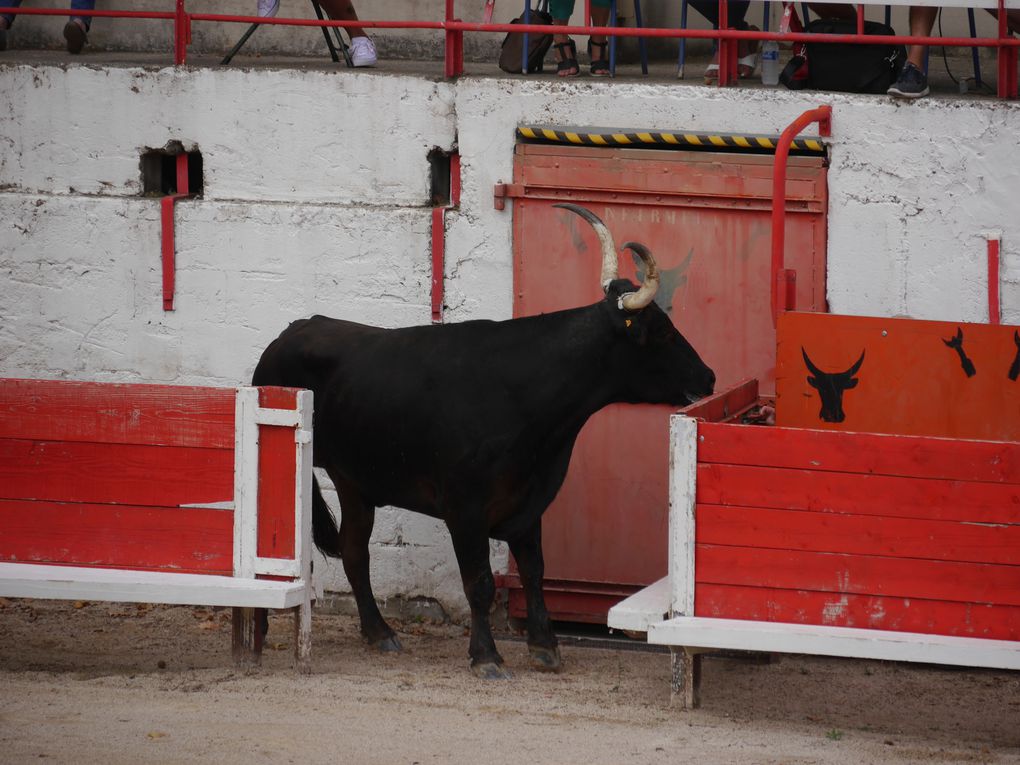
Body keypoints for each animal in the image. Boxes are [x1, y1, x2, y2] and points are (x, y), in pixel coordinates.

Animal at [252, 204, 718, 677]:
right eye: (662, 331)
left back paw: (379, 633)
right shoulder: (465, 509)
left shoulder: (528, 503)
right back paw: (265, 634)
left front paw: (545, 645)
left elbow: (533, 570)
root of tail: (291, 332)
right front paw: (487, 656)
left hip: (353, 481)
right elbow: (479, 582)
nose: (709, 377)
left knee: (353, 551)